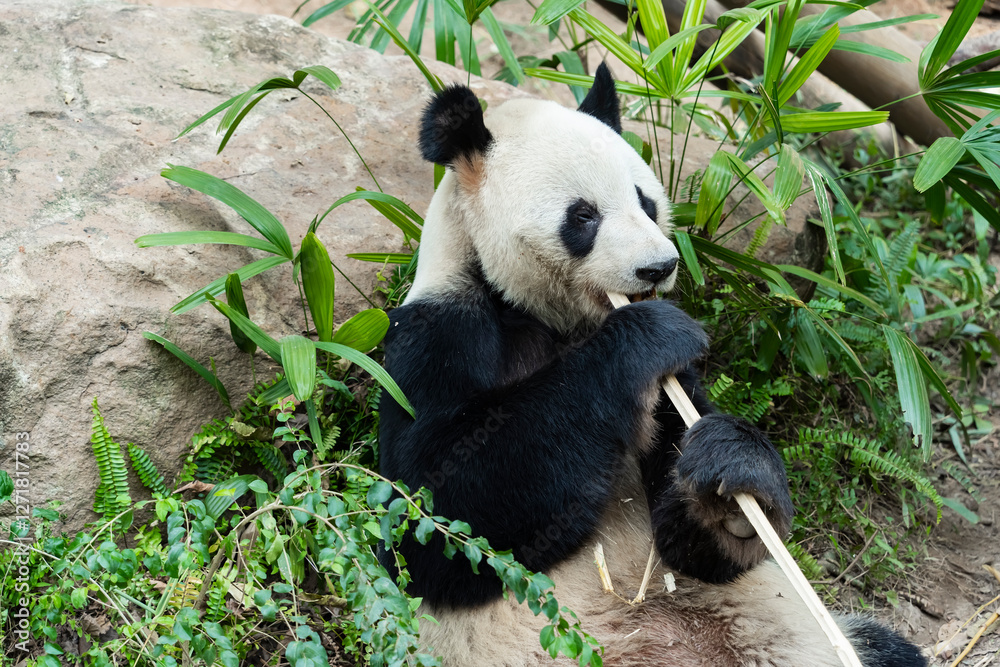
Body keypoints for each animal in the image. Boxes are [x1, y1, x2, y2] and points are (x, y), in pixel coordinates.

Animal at [377, 64, 926, 667]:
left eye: (646, 202)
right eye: (583, 216)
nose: (658, 267)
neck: (551, 316)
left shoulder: (672, 386)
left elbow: (694, 544)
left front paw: (735, 483)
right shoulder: (435, 335)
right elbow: (435, 515)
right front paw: (648, 336)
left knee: (887, 647)